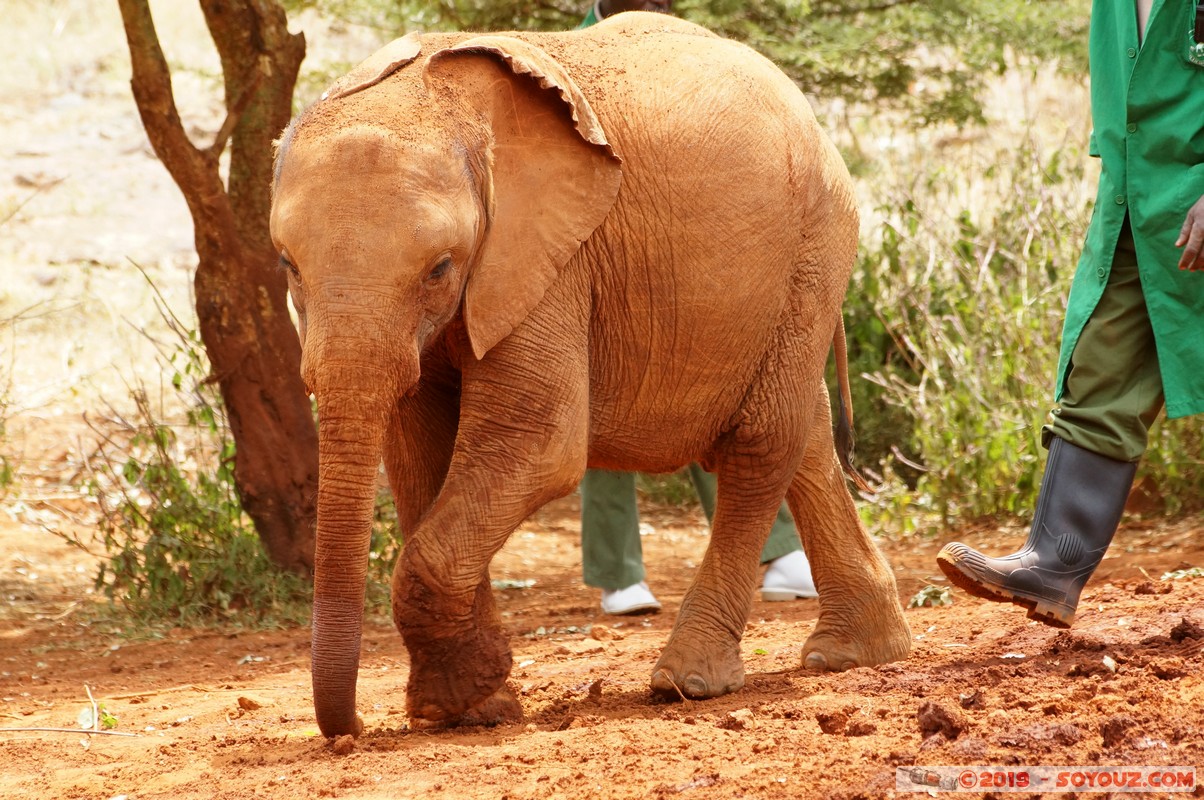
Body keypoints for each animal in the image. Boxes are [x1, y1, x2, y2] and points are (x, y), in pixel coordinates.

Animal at [270, 11, 911, 739]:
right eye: (288, 264)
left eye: (439, 267)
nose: (346, 728)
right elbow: (418, 457)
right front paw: (470, 704)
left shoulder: (548, 256)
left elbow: (537, 441)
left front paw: (463, 704)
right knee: (805, 429)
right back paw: (855, 655)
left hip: (815, 240)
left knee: (762, 439)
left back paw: (687, 683)